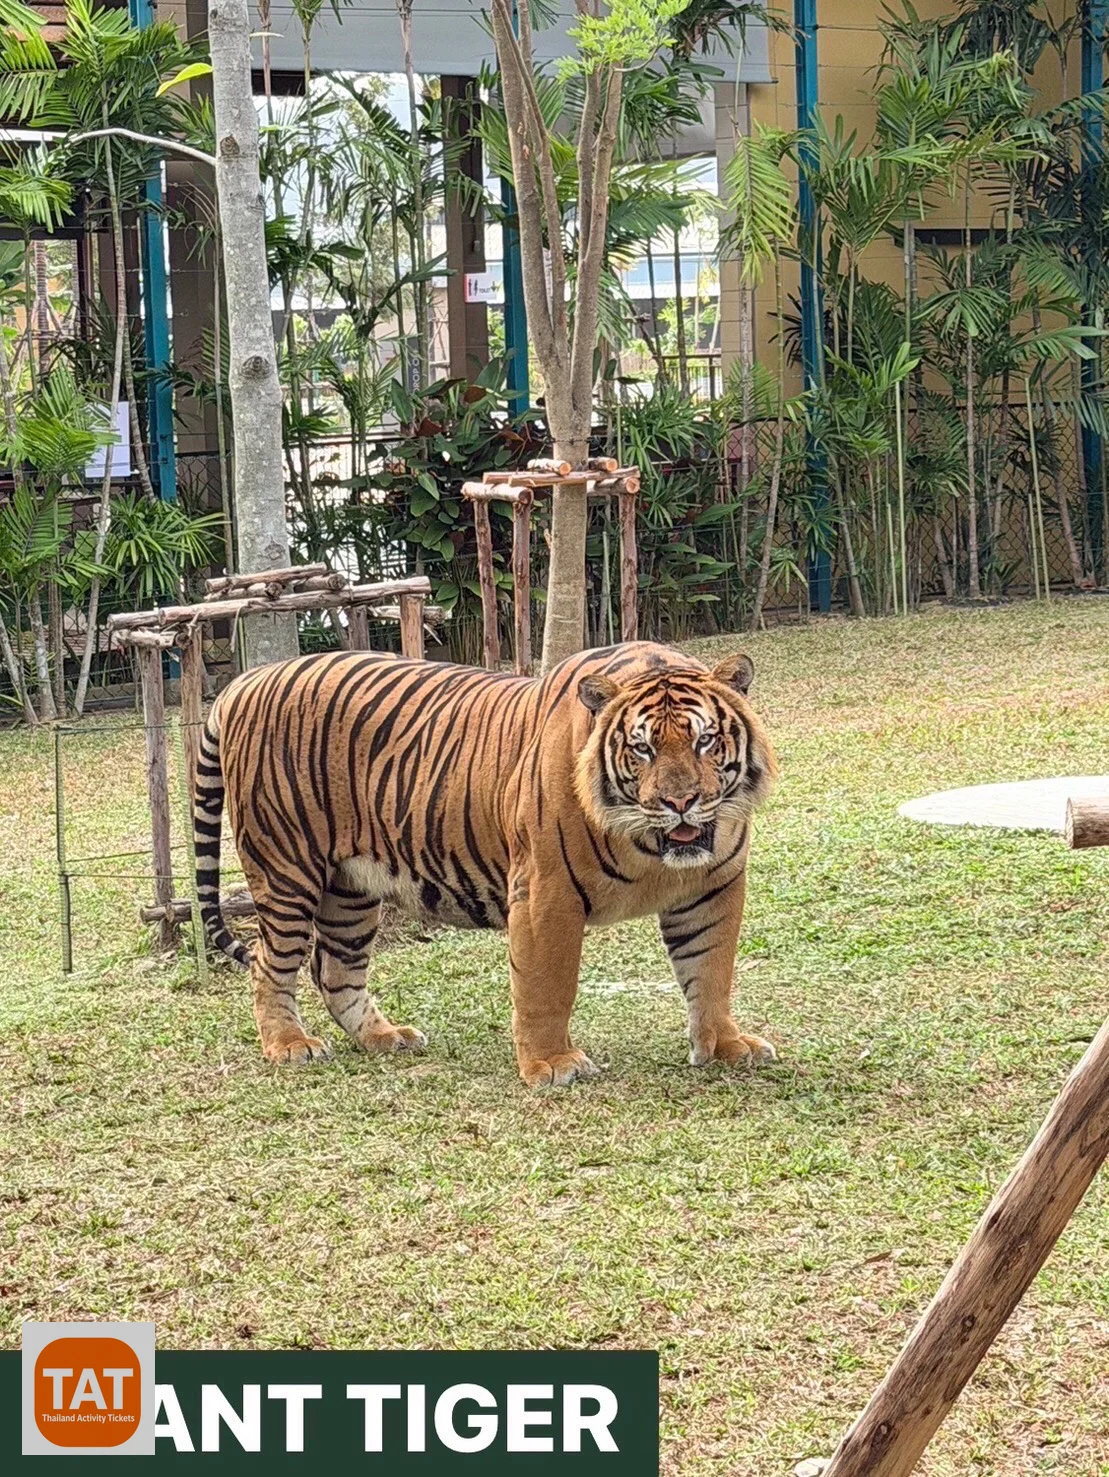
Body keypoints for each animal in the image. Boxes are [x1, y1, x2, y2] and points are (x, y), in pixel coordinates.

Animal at [193, 640, 779, 1087]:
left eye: (705, 740)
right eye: (642, 749)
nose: (679, 802)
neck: (652, 847)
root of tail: (243, 681)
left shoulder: (713, 889)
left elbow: (711, 972)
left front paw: (725, 1045)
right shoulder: (546, 893)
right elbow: (547, 984)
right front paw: (552, 1064)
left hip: (350, 887)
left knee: (335, 968)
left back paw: (385, 1037)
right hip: (286, 870)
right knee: (272, 964)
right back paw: (289, 1045)